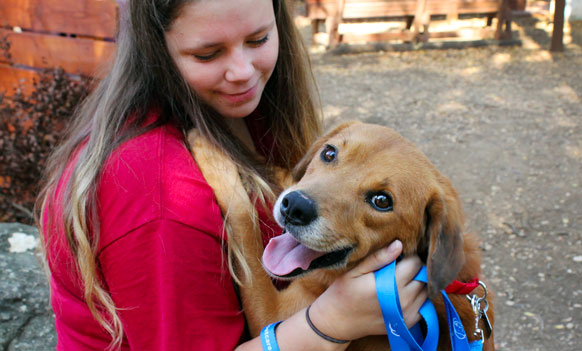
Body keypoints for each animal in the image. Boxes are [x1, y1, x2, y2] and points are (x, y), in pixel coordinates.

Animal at [189, 121, 496, 351]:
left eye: (382, 201)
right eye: (329, 153)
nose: (295, 206)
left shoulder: (271, 315)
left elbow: (244, 223)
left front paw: (212, 155)